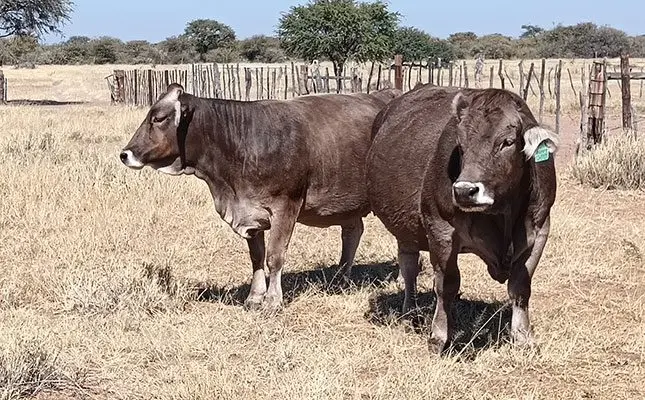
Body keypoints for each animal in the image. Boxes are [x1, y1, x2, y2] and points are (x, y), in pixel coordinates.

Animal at [120, 84, 400, 312]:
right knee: (352, 232)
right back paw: (339, 279)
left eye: (159, 118)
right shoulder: (250, 214)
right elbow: (256, 257)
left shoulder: (286, 206)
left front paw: (273, 301)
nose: (125, 154)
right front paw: (255, 297)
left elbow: (274, 256)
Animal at [366, 86, 558, 353]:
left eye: (507, 142)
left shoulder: (539, 230)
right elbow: (446, 285)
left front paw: (523, 338)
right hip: (405, 229)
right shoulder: (440, 229)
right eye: (461, 143)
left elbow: (520, 286)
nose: (464, 191)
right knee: (409, 267)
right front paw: (439, 336)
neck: (503, 215)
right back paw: (409, 312)